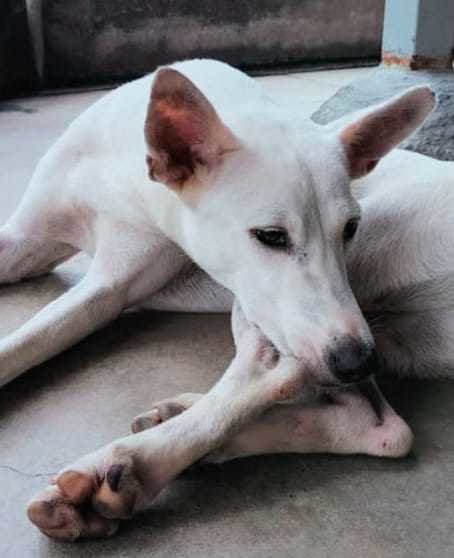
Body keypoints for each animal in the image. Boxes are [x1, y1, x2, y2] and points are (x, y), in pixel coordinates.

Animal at [2, 60, 450, 544]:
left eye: (350, 228)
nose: (359, 362)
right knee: (383, 427)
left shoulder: (112, 284)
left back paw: (129, 465)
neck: (124, 172)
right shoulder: (25, 235)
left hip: (281, 299)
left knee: (277, 370)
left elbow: (27, 342)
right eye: (271, 235)